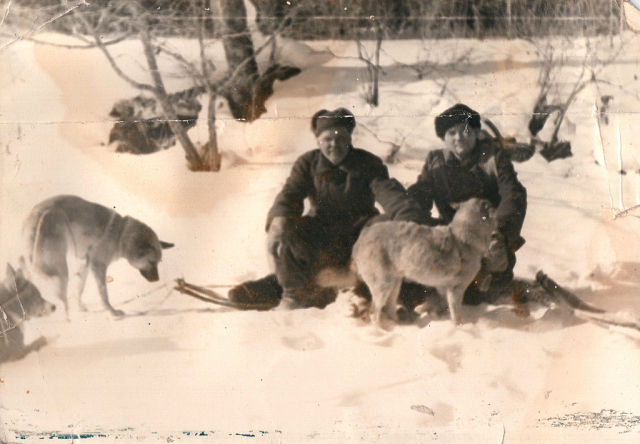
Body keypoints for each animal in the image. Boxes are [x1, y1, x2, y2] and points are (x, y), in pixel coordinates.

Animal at [22, 195, 174, 317]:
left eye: (158, 262)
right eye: (151, 262)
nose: (157, 280)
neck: (120, 234)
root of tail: (38, 212)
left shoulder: (85, 265)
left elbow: (80, 289)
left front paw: (80, 308)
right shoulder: (98, 266)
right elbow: (104, 295)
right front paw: (112, 313)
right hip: (61, 268)